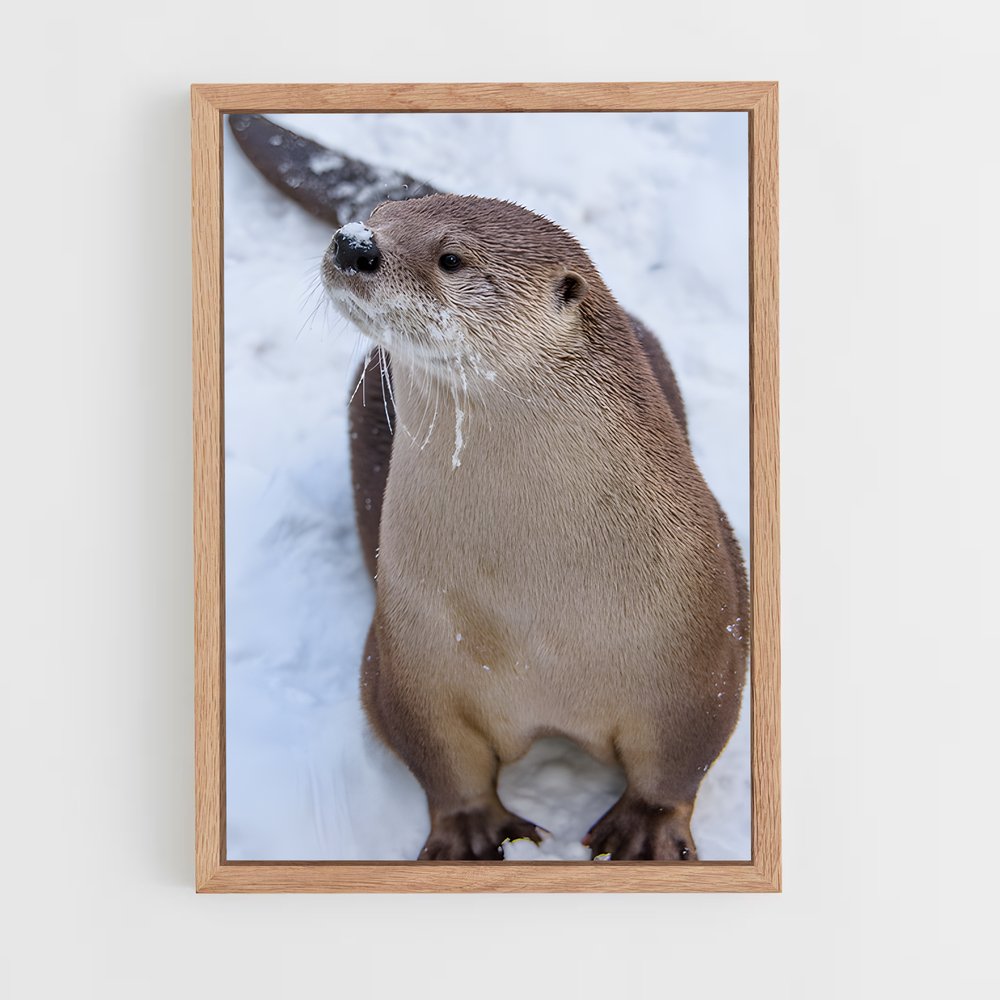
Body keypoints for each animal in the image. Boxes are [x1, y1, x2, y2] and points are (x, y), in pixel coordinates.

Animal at [321, 195, 748, 861]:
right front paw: (469, 832)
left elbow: (680, 759)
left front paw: (645, 833)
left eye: (451, 258)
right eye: (379, 211)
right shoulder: (409, 659)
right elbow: (440, 757)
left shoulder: (704, 651)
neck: (532, 616)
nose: (354, 242)